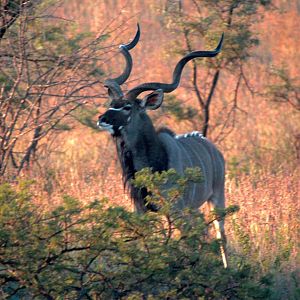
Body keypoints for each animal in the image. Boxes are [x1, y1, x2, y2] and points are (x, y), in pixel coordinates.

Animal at [98, 24, 227, 268]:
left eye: (127, 107)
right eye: (112, 103)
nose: (102, 119)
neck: (154, 161)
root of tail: (212, 148)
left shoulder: (174, 210)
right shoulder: (143, 211)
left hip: (216, 199)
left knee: (220, 236)